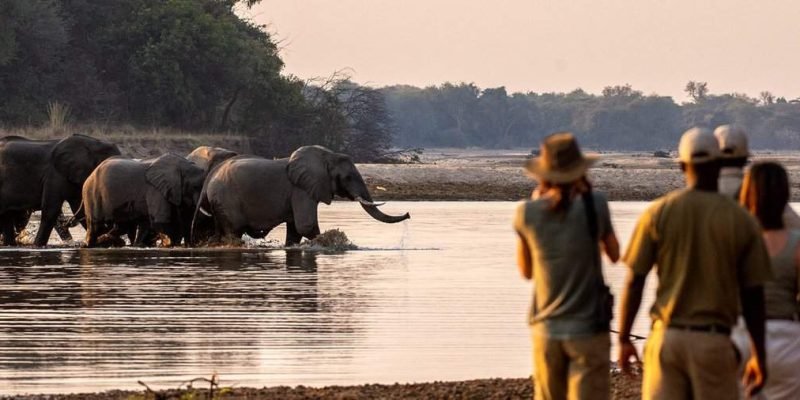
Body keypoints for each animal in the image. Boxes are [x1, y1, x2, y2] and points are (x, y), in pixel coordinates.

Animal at [191, 145, 410, 245]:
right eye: (348, 177)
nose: (408, 214)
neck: (326, 155)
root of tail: (210, 178)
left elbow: (296, 230)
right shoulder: (301, 190)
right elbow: (306, 225)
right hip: (227, 200)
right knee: (233, 232)